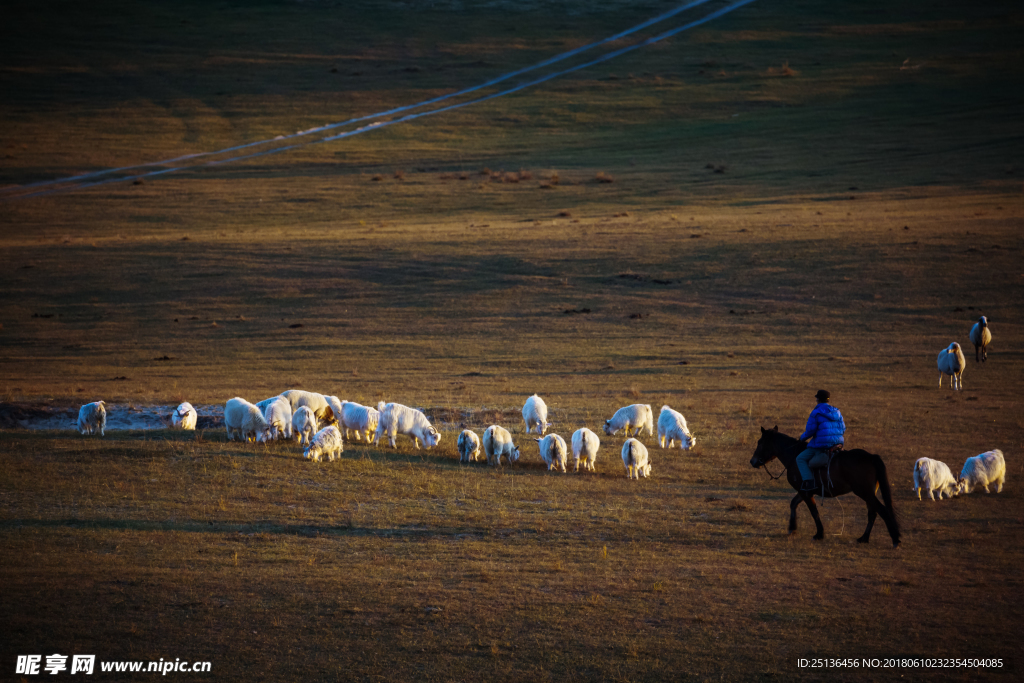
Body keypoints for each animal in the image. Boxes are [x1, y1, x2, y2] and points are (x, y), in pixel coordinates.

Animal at [749, 428, 901, 548]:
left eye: (760, 442)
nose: (752, 461)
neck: (794, 456)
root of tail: (871, 457)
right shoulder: (804, 491)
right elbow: (793, 504)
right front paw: (792, 528)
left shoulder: (805, 493)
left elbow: (814, 512)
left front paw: (819, 534)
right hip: (869, 494)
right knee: (873, 513)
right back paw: (864, 538)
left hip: (865, 493)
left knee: (882, 510)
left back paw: (895, 539)